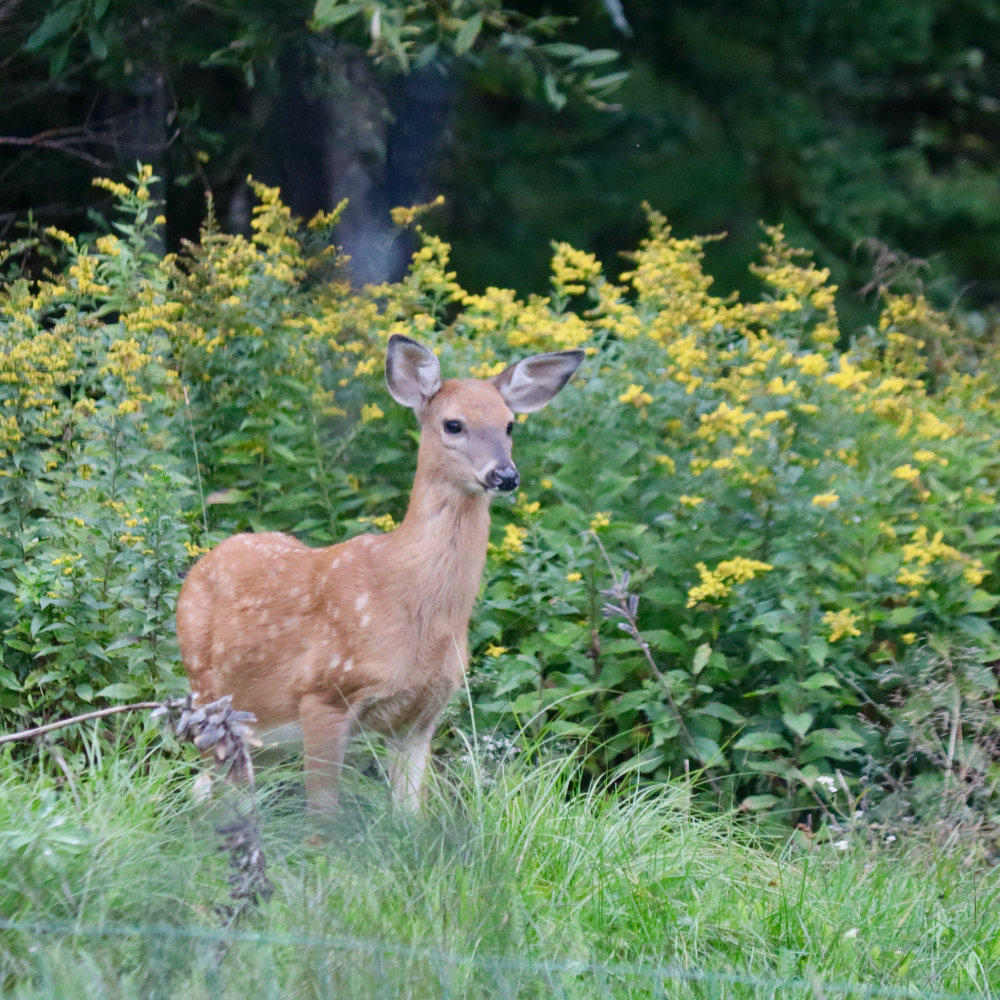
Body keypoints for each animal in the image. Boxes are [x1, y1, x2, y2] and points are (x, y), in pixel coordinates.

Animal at [176, 336, 584, 812]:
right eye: (453, 424)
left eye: (510, 425)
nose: (504, 475)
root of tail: (201, 565)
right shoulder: (322, 692)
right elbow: (323, 815)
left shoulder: (422, 715)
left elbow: (410, 813)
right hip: (208, 694)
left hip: (263, 735)